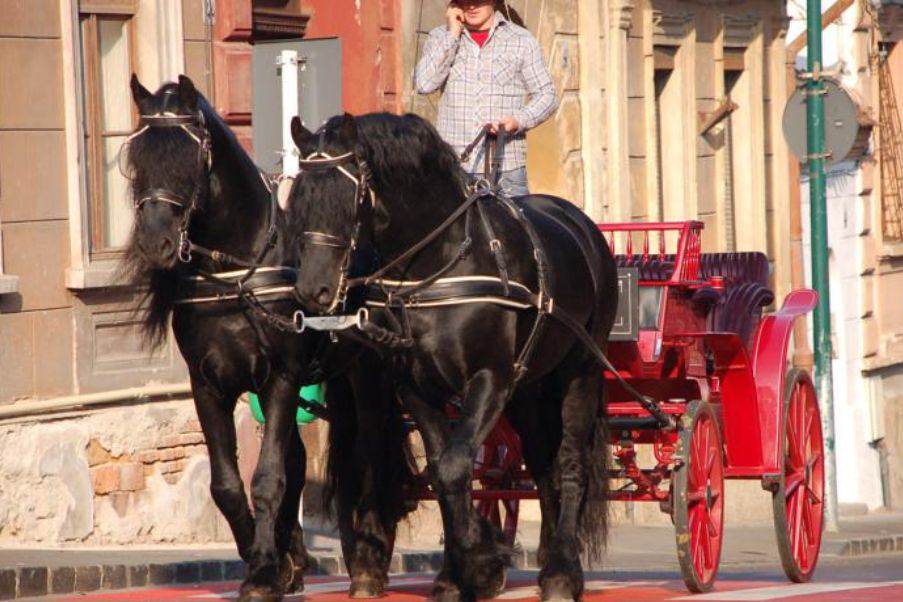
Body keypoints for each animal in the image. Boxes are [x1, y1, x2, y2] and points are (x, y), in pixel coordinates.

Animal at [122, 77, 410, 596]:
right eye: (137, 157)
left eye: (187, 158)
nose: (155, 243)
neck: (236, 273)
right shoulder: (209, 385)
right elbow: (228, 484)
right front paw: (271, 563)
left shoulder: (281, 377)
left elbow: (269, 477)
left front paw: (260, 573)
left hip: (369, 373)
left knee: (373, 454)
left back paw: (369, 562)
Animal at [290, 113, 620, 600]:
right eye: (298, 197)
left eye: (343, 198)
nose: (313, 290)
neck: (441, 266)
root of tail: (582, 225)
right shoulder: (419, 388)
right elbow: (442, 469)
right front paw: (461, 570)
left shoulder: (489, 379)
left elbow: (454, 466)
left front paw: (478, 563)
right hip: (528, 388)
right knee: (542, 462)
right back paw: (545, 559)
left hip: (580, 371)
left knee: (570, 461)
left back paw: (563, 571)